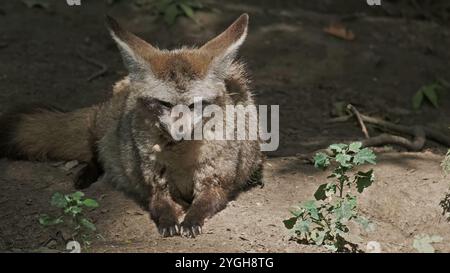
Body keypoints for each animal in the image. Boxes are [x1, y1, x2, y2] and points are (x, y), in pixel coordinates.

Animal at [0, 14, 264, 236]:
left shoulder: (217, 184)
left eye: (194, 105)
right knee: (96, 152)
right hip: (103, 128)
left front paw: (190, 220)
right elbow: (161, 205)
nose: (180, 132)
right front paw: (170, 220)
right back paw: (87, 174)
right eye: (165, 104)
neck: (182, 161)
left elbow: (202, 205)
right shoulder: (156, 185)